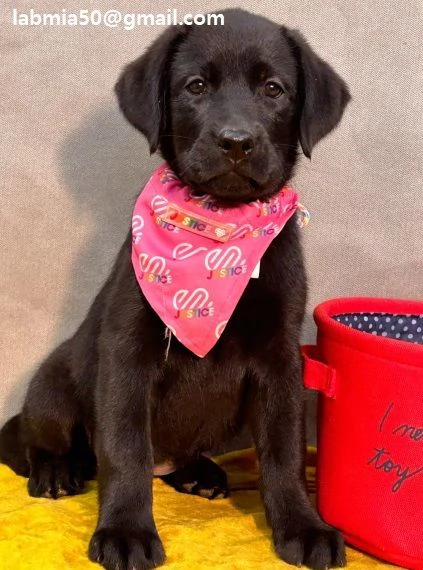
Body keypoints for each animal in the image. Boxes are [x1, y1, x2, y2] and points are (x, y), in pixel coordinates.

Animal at [0, 8, 352, 568]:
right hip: (54, 384)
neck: (217, 231)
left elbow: (285, 451)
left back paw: (199, 473)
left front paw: (303, 525)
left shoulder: (281, 359)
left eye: (274, 89)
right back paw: (56, 470)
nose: (236, 141)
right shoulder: (127, 352)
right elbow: (125, 449)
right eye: (196, 86)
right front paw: (125, 531)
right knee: (35, 437)